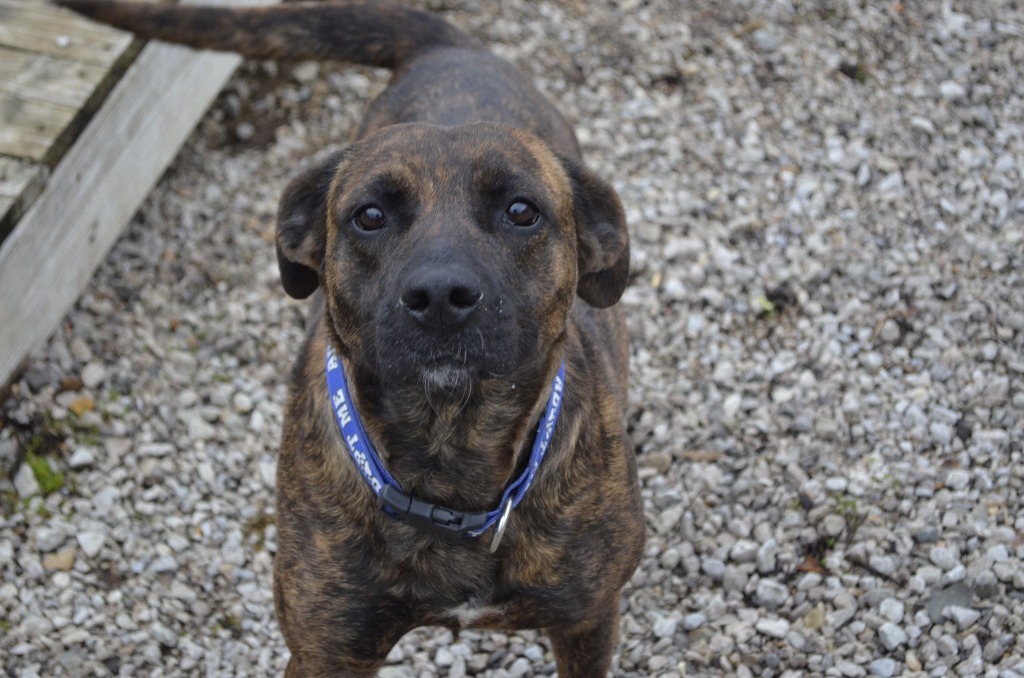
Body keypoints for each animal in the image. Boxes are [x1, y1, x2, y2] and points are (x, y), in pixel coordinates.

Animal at [56, 2, 643, 675]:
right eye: (370, 215)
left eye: (522, 211)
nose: (440, 295)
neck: (450, 454)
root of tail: (452, 48)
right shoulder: (326, 648)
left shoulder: (588, 620)